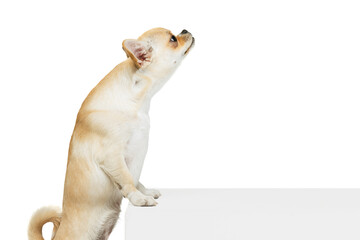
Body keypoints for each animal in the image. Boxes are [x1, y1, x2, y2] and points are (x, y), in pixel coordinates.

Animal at [28, 27, 195, 239]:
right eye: (173, 39)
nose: (185, 30)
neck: (138, 101)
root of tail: (56, 235)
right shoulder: (112, 156)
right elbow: (127, 179)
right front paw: (139, 199)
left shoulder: (133, 157)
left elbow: (135, 178)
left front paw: (145, 192)